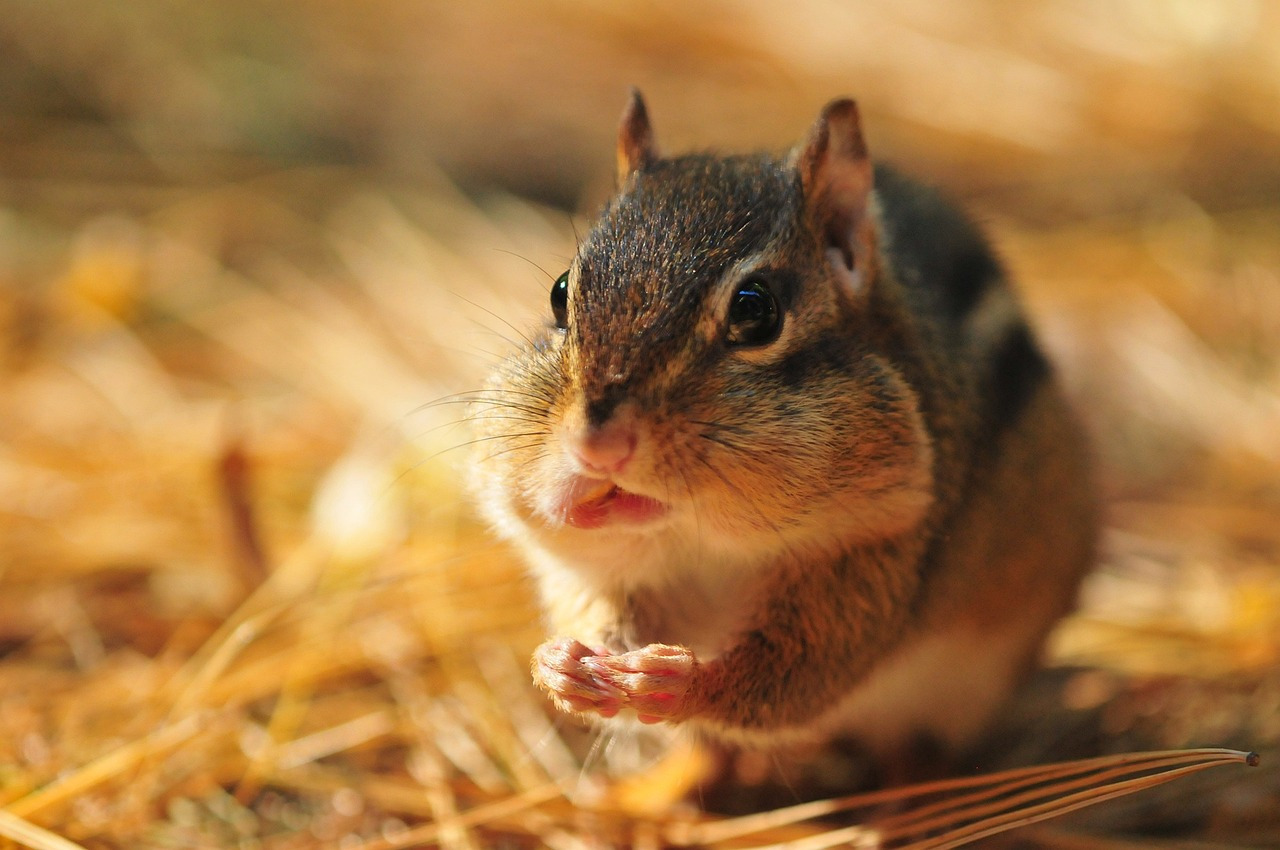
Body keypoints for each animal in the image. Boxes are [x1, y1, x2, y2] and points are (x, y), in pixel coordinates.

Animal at [468, 90, 1098, 762]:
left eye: (756, 311)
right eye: (561, 293)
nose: (597, 447)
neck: (703, 543)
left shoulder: (875, 567)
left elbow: (793, 675)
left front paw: (681, 681)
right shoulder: (598, 568)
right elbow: (591, 609)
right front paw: (561, 665)